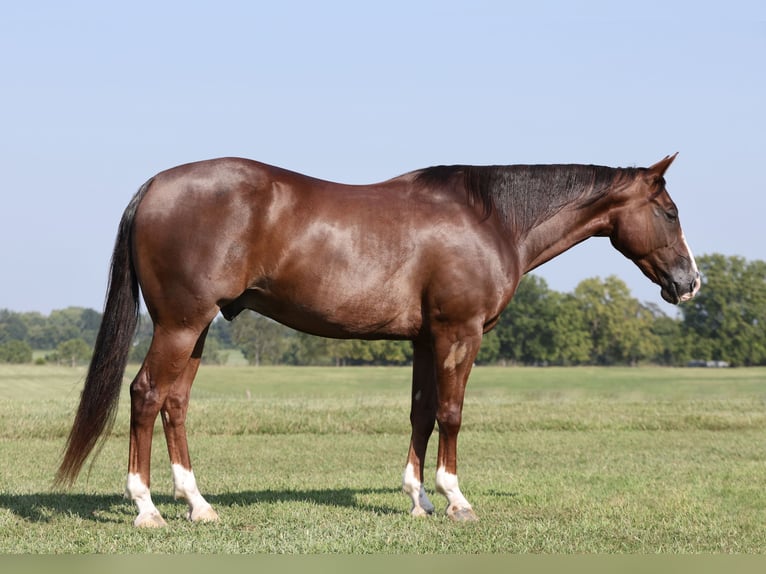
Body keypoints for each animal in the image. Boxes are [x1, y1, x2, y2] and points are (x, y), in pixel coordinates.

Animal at [54, 152, 704, 528]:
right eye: (670, 211)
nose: (689, 282)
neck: (490, 218)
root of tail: (156, 185)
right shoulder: (459, 333)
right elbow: (451, 412)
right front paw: (455, 500)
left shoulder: (424, 339)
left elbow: (420, 412)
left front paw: (417, 500)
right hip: (181, 323)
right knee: (145, 395)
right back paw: (146, 508)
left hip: (197, 329)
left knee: (175, 403)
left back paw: (198, 505)